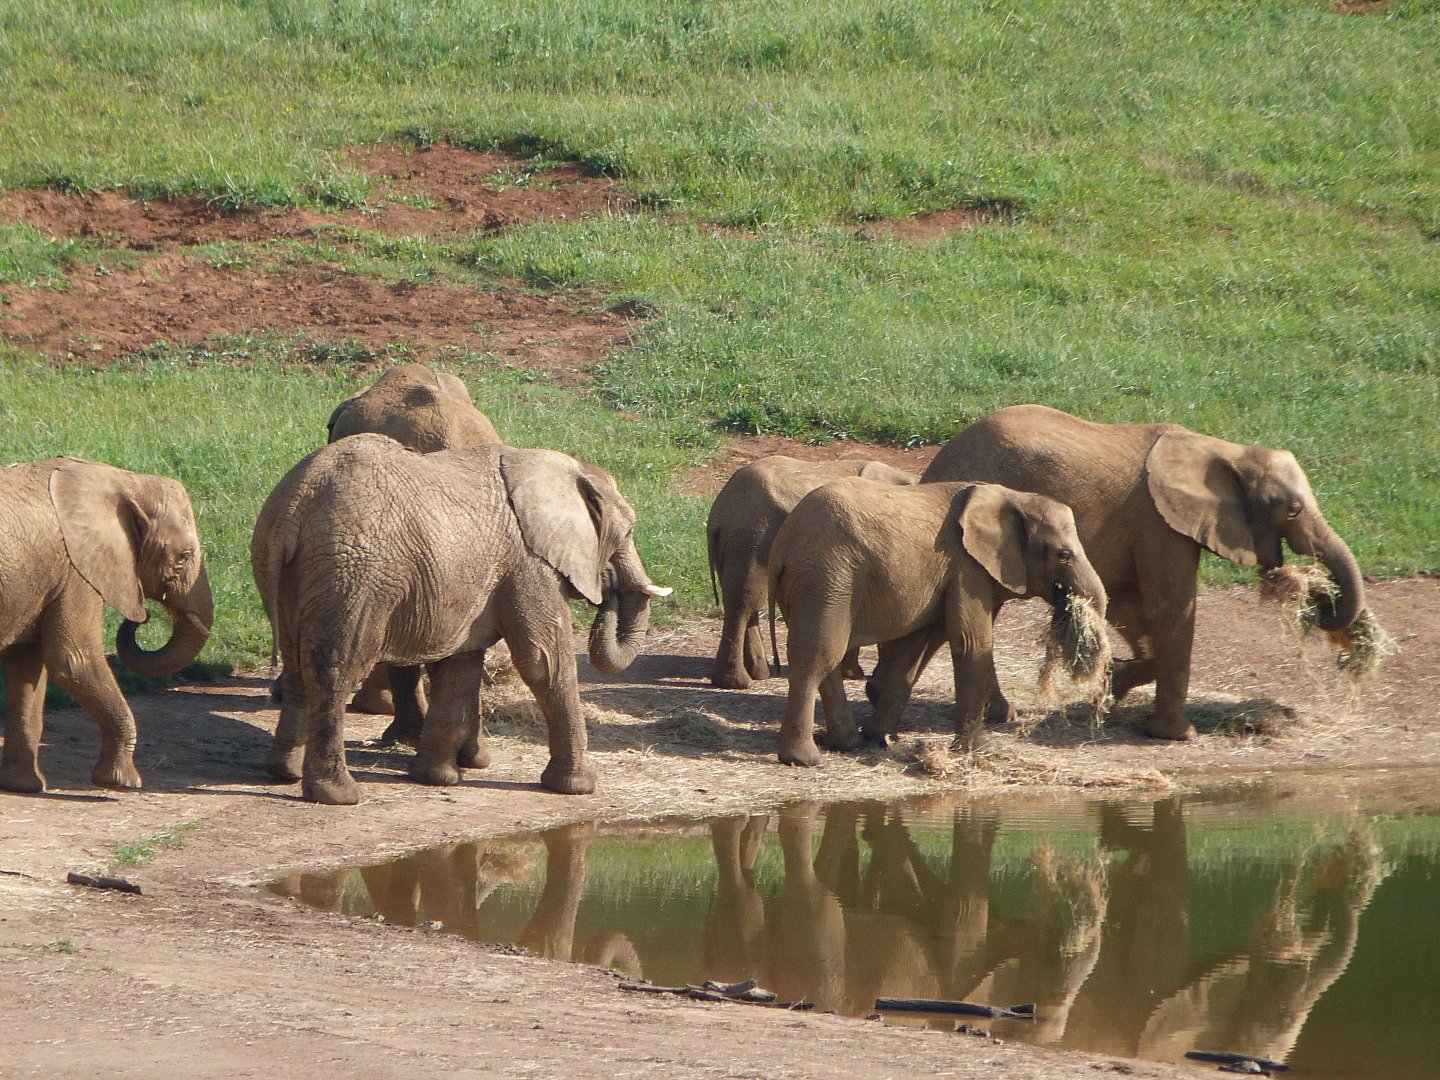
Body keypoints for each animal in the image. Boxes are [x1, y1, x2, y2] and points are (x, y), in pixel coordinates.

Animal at [0, 457, 213, 793]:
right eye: (183, 556)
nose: (143, 617)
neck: (122, 480)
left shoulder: (49, 578)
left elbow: (27, 665)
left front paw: (25, 786)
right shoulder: (77, 571)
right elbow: (74, 659)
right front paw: (123, 783)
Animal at [250, 433, 670, 804]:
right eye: (629, 531)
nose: (608, 589)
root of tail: (295, 506)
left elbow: (461, 663)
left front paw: (438, 779)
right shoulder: (528, 562)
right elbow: (544, 661)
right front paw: (578, 787)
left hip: (287, 567)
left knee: (297, 666)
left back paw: (284, 773)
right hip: (355, 576)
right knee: (335, 673)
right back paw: (339, 795)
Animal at [706, 455, 917, 689]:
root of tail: (719, 509)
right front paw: (855, 675)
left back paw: (759, 674)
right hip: (751, 535)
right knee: (746, 599)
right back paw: (737, 682)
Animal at [767, 478, 1107, 766]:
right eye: (1063, 555)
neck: (1013, 496)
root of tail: (783, 544)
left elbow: (911, 651)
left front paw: (880, 738)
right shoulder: (967, 567)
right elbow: (971, 643)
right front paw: (972, 751)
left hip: (819, 582)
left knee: (826, 657)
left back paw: (847, 744)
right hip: (825, 579)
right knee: (817, 656)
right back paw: (805, 759)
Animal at [922, 404, 1366, 739]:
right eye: (1292, 510)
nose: (1323, 605)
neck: (1225, 450)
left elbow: (1131, 606)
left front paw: (1111, 685)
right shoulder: (1160, 524)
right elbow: (1171, 607)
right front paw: (1175, 735)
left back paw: (1004, 714)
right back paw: (1003, 715)